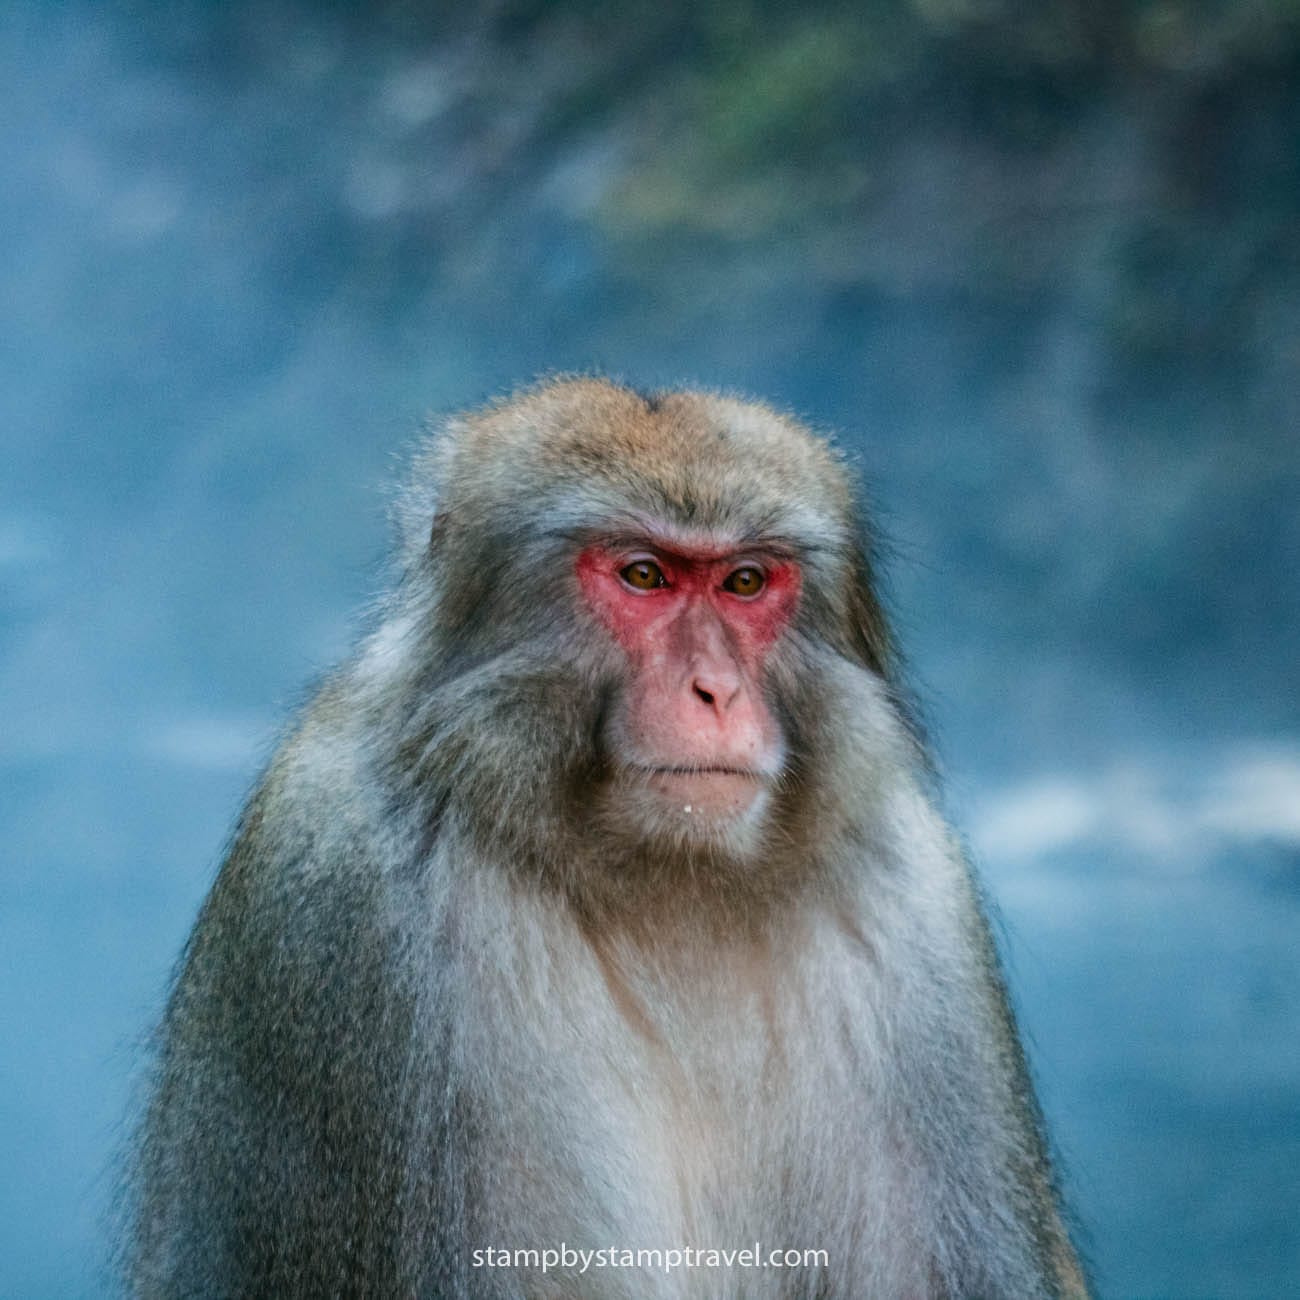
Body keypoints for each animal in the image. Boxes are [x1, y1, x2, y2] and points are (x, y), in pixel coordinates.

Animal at [125, 378, 1087, 1298]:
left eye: (744, 582)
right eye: (644, 575)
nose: (715, 692)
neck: (666, 884)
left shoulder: (918, 905)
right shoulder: (348, 896)